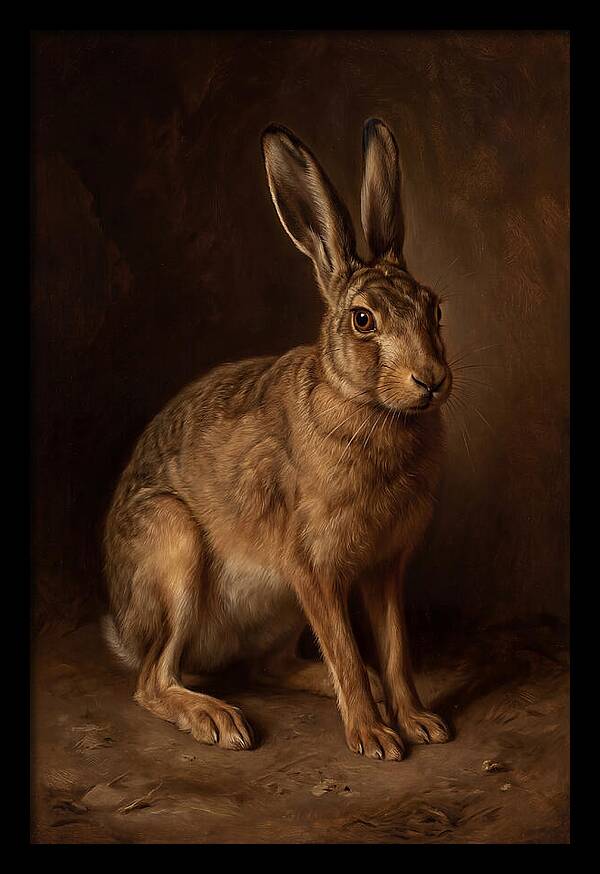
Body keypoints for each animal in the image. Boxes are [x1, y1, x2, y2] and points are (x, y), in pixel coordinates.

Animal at [103, 118, 452, 760]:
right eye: (363, 320)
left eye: (434, 309)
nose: (431, 380)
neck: (369, 407)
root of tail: (123, 625)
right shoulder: (311, 567)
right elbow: (345, 650)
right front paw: (374, 738)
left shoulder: (385, 568)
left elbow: (395, 652)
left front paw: (418, 722)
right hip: (173, 546)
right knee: (152, 680)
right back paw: (217, 719)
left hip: (278, 611)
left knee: (269, 668)